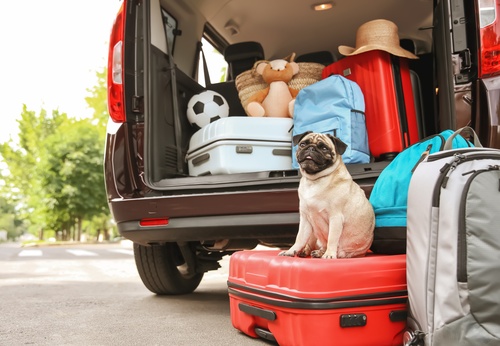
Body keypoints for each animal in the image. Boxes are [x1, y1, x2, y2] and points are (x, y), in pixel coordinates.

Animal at [280, 132, 374, 260]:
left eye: (324, 148)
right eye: (303, 144)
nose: (311, 148)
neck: (314, 180)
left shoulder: (335, 218)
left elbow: (332, 239)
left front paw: (329, 254)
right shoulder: (305, 219)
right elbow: (299, 238)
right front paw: (290, 251)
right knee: (311, 244)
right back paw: (308, 251)